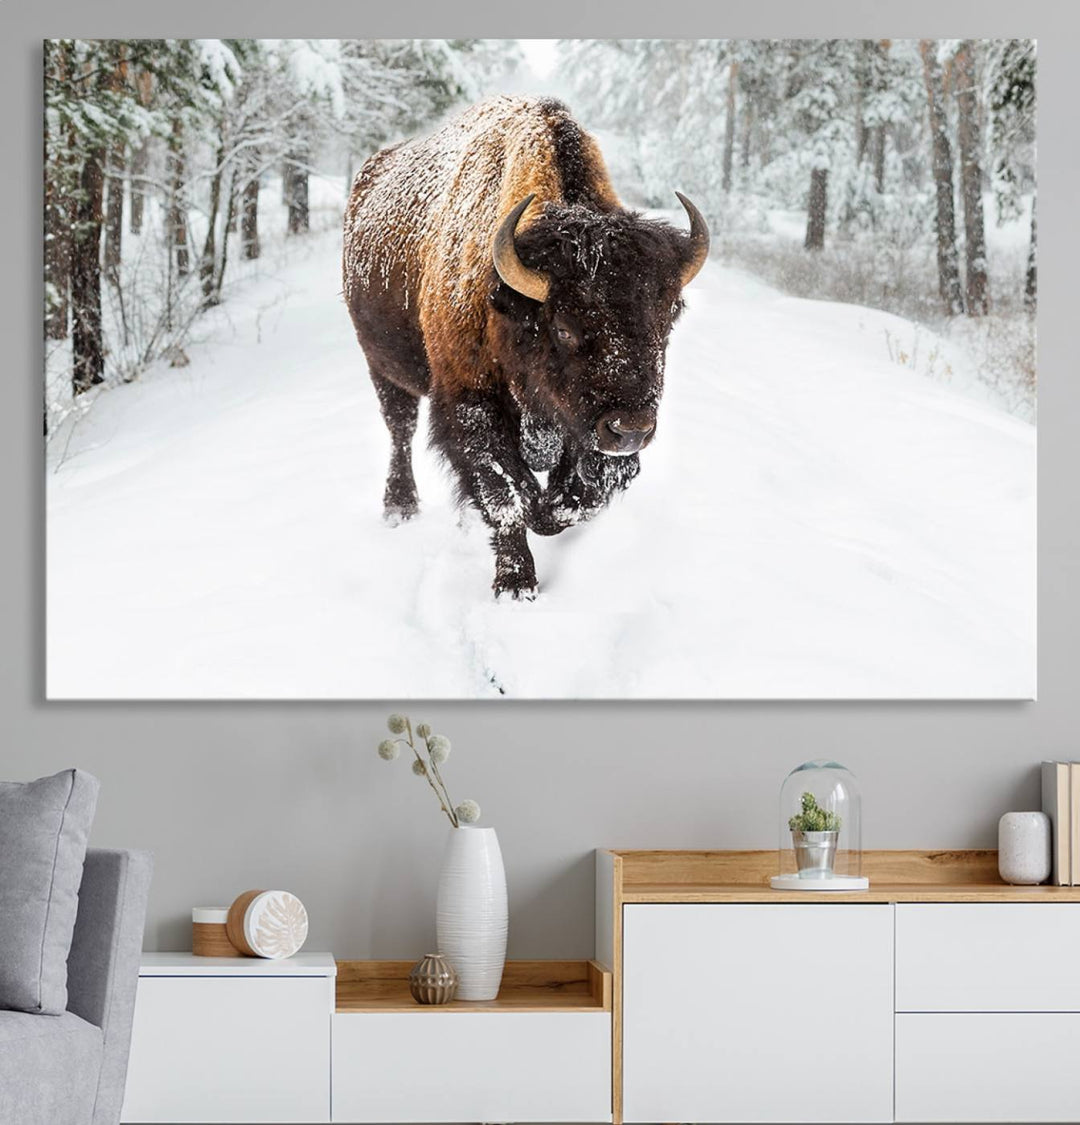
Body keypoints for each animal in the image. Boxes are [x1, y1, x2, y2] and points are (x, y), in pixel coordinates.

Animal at [344, 95, 711, 603]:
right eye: (563, 327)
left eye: (669, 316)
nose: (631, 430)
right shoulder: (470, 405)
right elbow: (507, 494)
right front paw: (516, 584)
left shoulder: (581, 428)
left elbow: (580, 497)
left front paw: (549, 512)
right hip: (381, 365)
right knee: (400, 429)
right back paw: (399, 507)